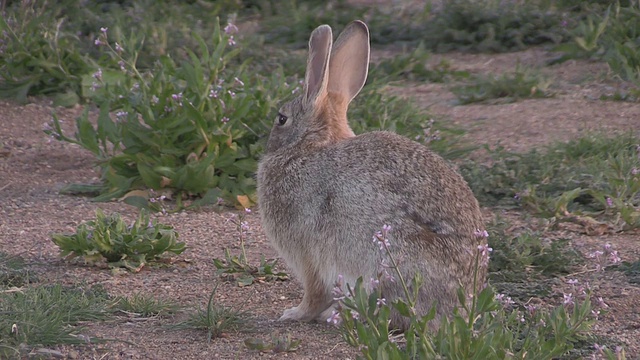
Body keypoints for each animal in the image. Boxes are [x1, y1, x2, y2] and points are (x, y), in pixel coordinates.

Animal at [255, 19, 484, 330]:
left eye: (281, 119)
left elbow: (314, 293)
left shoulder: (309, 256)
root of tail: (460, 311)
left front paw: (294, 313)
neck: (309, 147)